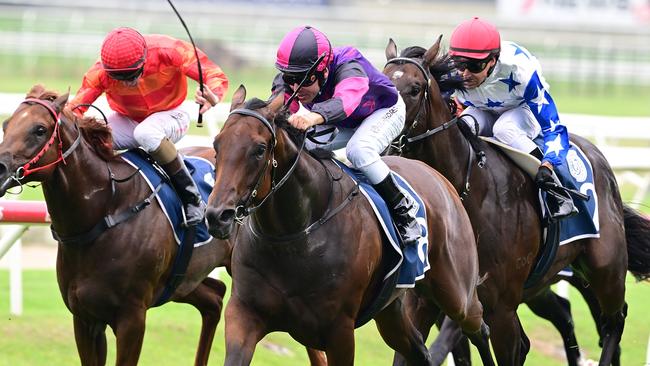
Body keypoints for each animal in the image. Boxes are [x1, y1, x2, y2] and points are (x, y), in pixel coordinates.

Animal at [0, 85, 232, 364]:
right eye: (6, 125)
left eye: (39, 129)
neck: (105, 214)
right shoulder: (85, 318)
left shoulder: (132, 318)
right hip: (183, 280)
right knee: (215, 298)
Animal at [202, 85, 492, 364]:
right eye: (217, 145)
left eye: (260, 149)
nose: (217, 215)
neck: (295, 234)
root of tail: (438, 176)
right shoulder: (244, 314)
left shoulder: (339, 332)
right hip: (390, 309)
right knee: (419, 351)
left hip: (457, 293)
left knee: (479, 328)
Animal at [380, 38, 648, 364]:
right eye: (381, 82)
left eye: (415, 88)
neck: (465, 194)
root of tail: (598, 156)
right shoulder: (424, 303)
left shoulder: (500, 308)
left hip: (605, 268)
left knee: (614, 321)